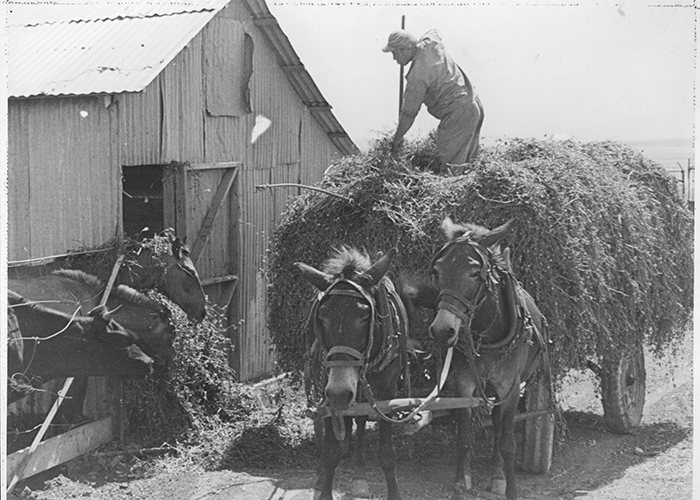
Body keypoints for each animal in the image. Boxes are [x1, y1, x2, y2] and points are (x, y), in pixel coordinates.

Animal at [296, 247, 410, 500]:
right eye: (322, 318)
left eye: (365, 318)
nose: (340, 393)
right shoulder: (328, 393)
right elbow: (332, 451)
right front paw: (323, 487)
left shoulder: (387, 394)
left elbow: (386, 453)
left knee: (361, 419)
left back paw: (359, 476)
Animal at [408, 219, 548, 500]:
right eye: (437, 270)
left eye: (474, 273)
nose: (442, 331)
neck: (488, 332)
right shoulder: (463, 384)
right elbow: (464, 438)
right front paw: (461, 482)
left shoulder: (510, 388)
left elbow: (507, 442)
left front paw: (510, 488)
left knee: (499, 428)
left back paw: (498, 476)